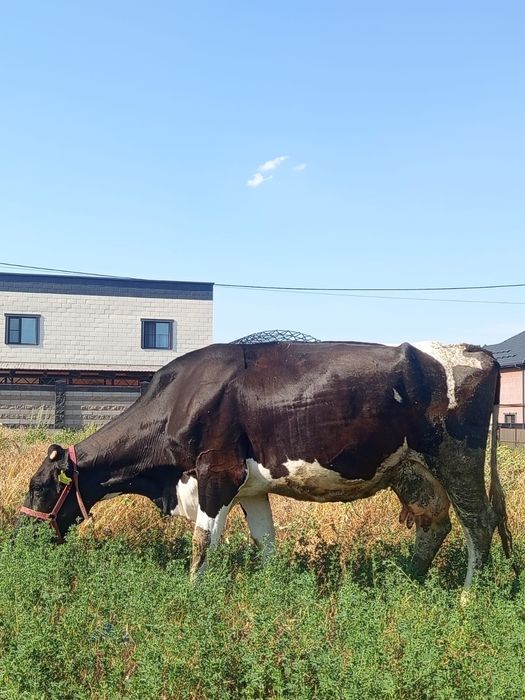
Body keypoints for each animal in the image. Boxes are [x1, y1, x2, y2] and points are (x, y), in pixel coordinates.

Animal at [20, 341, 513, 587]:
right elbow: (266, 544)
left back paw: (469, 598)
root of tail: (475, 350)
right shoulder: (252, 489)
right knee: (435, 521)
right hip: (410, 468)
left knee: (479, 523)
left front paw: (190, 597)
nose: (22, 534)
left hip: (457, 458)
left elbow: (202, 544)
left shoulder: (218, 474)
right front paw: (270, 591)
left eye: (39, 486)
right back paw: (408, 584)